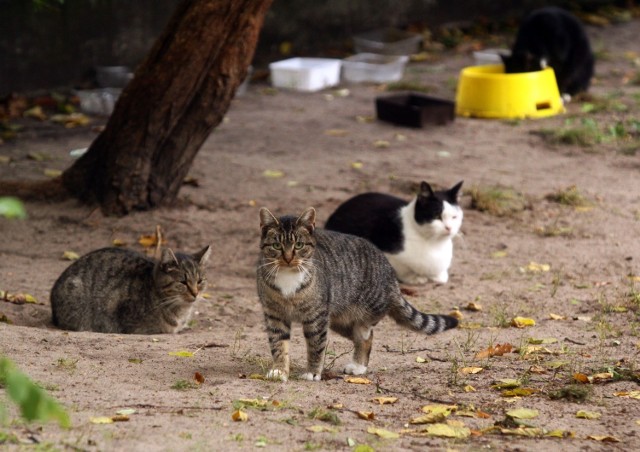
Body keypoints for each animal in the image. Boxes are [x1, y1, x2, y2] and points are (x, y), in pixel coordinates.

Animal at [252, 207, 458, 382]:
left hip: (359, 316)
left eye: (299, 245)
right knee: (363, 337)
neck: (288, 278)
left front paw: (312, 372)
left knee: (366, 337)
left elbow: (316, 346)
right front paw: (279, 370)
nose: (288, 258)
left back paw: (358, 366)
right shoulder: (274, 315)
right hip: (339, 321)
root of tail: (391, 275)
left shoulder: (317, 317)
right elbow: (278, 344)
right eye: (277, 245)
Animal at [328, 179, 462, 282]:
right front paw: (414, 278)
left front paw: (438, 276)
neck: (434, 243)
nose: (449, 228)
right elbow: (401, 269)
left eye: (454, 217)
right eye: (437, 216)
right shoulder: (387, 254)